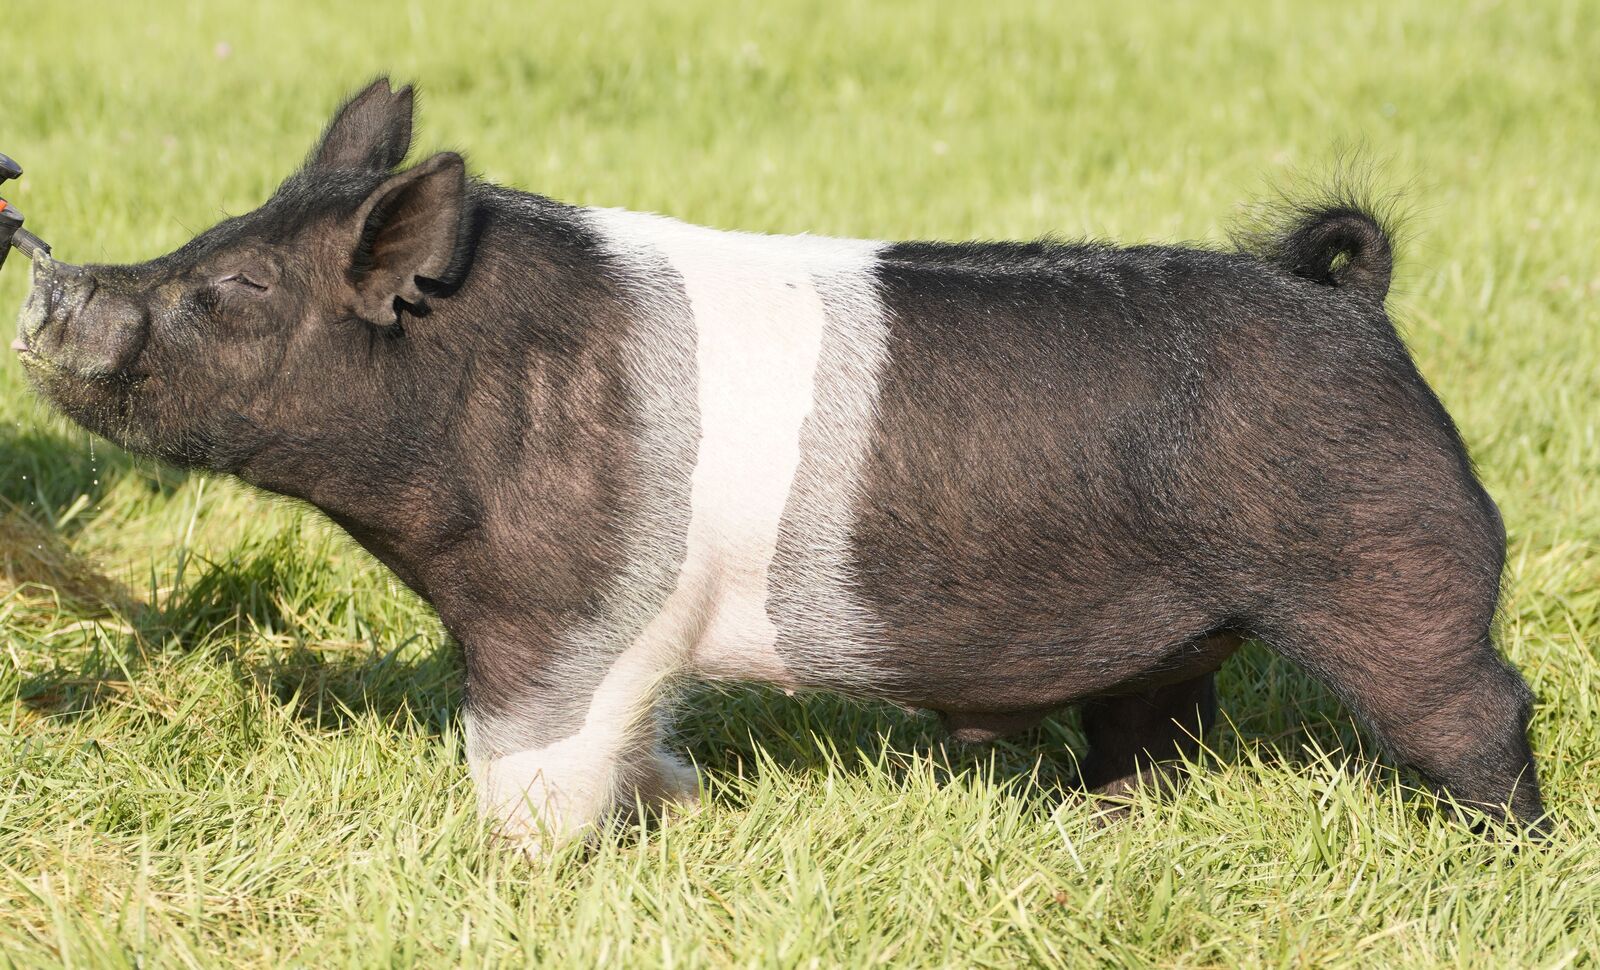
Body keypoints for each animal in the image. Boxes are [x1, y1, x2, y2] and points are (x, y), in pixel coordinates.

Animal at [14, 78, 1545, 849]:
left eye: (238, 290)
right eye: (211, 241)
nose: (52, 289)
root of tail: (1345, 301)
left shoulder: (575, 610)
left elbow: (524, 758)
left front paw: (522, 874)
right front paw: (679, 812)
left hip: (1393, 570)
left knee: (1482, 709)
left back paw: (1507, 860)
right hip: (1176, 636)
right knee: (1153, 733)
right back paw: (1095, 833)